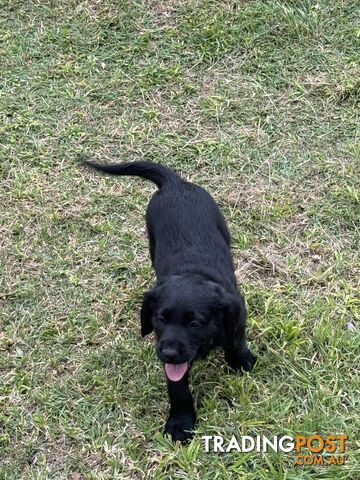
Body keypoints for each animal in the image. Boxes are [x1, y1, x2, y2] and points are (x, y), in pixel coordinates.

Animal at [82, 161, 256, 442]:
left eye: (195, 323)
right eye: (160, 319)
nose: (169, 353)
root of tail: (175, 183)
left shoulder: (237, 311)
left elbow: (235, 338)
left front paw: (240, 361)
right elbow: (178, 389)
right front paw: (180, 422)